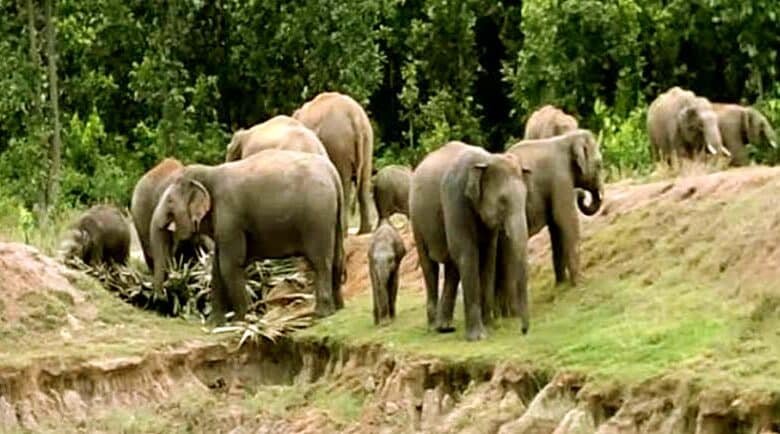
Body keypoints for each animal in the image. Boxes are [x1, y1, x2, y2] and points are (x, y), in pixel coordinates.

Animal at [150, 149, 345, 323]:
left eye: (170, 202)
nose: (163, 298)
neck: (209, 172)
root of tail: (333, 175)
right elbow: (217, 267)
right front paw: (216, 325)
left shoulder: (230, 216)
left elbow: (229, 264)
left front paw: (242, 321)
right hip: (333, 218)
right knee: (337, 258)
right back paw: (337, 310)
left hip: (317, 218)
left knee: (320, 261)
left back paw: (321, 314)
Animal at [293, 91, 374, 234]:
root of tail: (355, 117)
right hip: (367, 139)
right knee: (364, 181)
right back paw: (364, 231)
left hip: (338, 143)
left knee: (343, 180)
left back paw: (345, 231)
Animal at [410, 141, 531, 341]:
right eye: (502, 201)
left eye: (526, 198)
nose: (524, 331)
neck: (486, 159)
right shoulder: (455, 196)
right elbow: (468, 251)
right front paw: (479, 337)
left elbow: (488, 255)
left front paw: (491, 325)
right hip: (416, 219)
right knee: (430, 266)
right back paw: (433, 327)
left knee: (452, 267)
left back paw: (445, 327)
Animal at [505, 129, 604, 287]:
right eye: (599, 164)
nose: (581, 195)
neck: (566, 138)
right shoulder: (561, 177)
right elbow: (565, 218)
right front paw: (581, 282)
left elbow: (556, 227)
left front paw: (561, 284)